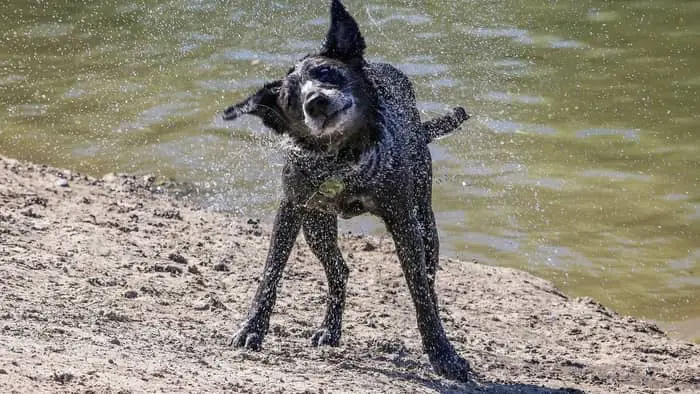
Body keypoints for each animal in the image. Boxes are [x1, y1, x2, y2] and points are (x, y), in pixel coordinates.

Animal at [223, 0, 470, 382]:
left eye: (326, 71)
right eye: (289, 100)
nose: (315, 101)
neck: (343, 158)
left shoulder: (403, 220)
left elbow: (420, 296)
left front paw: (444, 355)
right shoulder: (291, 208)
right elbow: (271, 272)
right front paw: (253, 329)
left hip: (425, 224)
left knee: (427, 282)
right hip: (316, 227)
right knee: (339, 270)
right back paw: (330, 328)